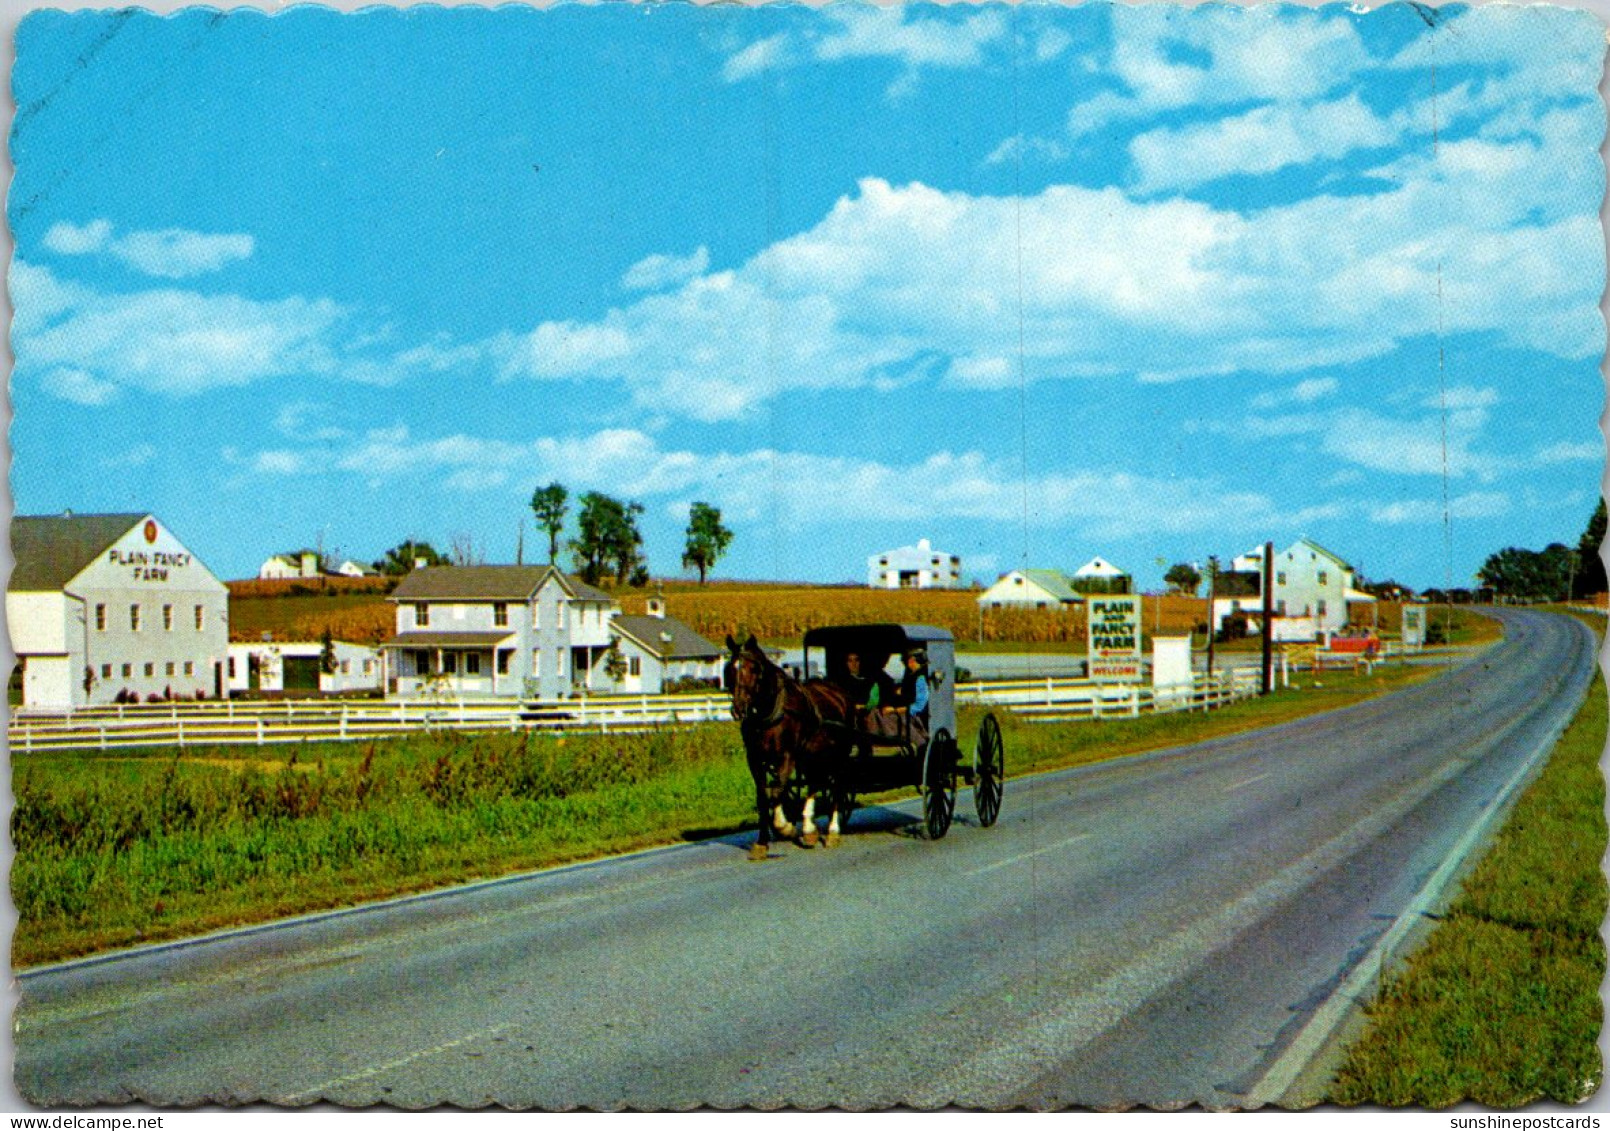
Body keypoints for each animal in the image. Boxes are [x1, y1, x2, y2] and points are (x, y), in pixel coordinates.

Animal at [727, 634, 856, 863]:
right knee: (815, 783)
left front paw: (785, 827)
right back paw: (809, 829)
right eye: (730, 669)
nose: (739, 708)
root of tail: (839, 692)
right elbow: (763, 797)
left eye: (754, 669)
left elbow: (777, 791)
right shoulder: (755, 759)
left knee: (837, 787)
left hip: (839, 756)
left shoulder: (786, 756)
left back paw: (832, 831)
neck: (771, 711)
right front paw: (761, 843)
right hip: (812, 756)